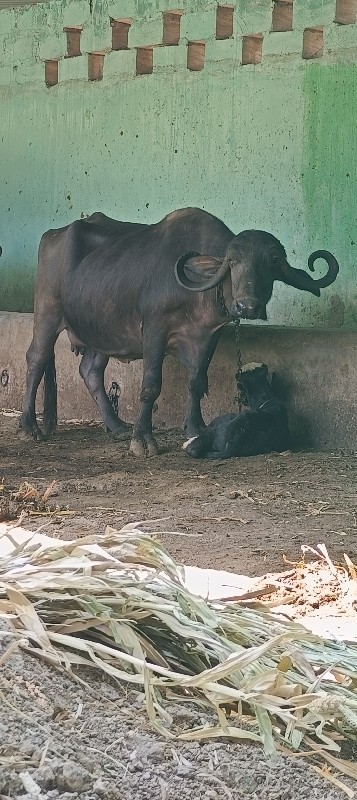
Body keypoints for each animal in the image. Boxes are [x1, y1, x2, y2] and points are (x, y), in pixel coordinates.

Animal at [20, 206, 338, 456]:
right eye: (232, 262)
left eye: (272, 261)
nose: (247, 306)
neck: (196, 295)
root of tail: (54, 234)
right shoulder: (154, 330)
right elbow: (150, 385)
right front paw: (143, 440)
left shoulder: (207, 338)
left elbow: (196, 382)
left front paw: (195, 427)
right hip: (48, 311)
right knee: (36, 359)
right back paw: (28, 427)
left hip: (102, 331)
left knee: (91, 371)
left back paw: (117, 426)